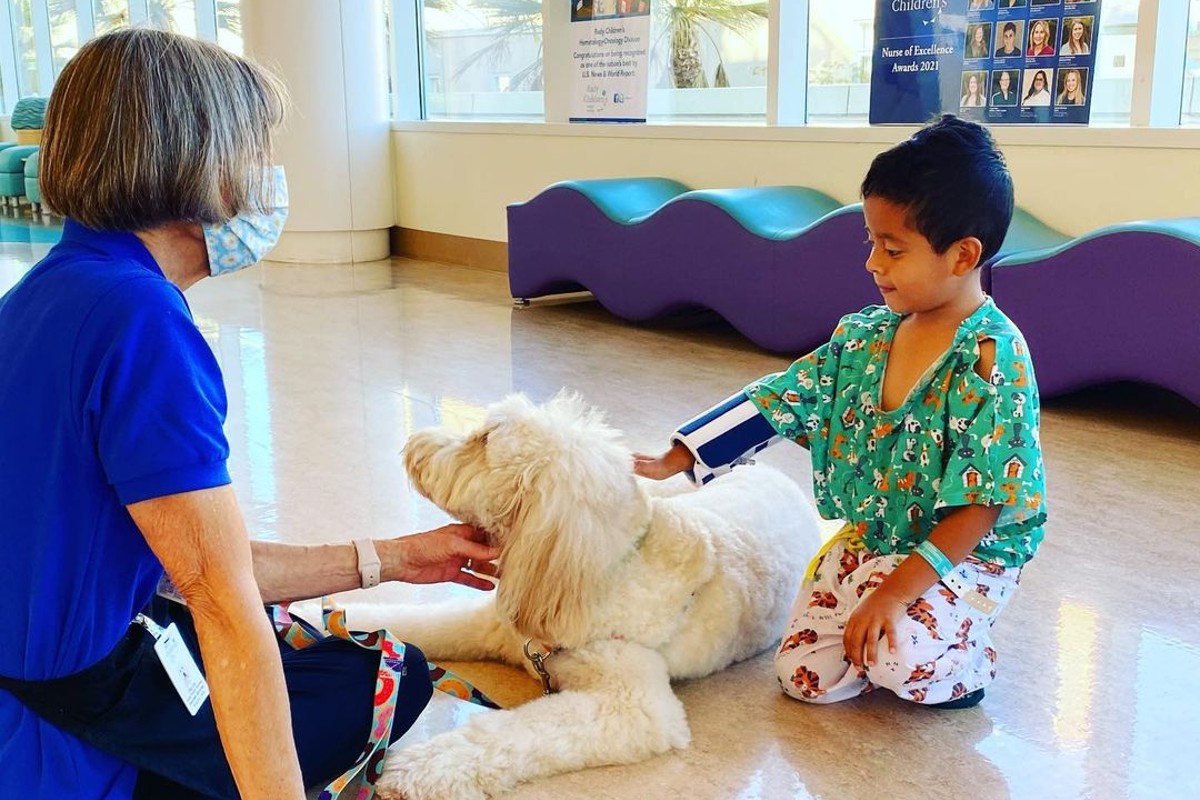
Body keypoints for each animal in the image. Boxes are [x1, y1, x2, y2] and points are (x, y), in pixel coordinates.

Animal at [362, 393, 816, 800]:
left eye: (484, 440)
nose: (415, 441)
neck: (602, 569)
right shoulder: (493, 624)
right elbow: (418, 622)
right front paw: (345, 617)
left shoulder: (634, 707)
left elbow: (511, 733)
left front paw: (420, 769)